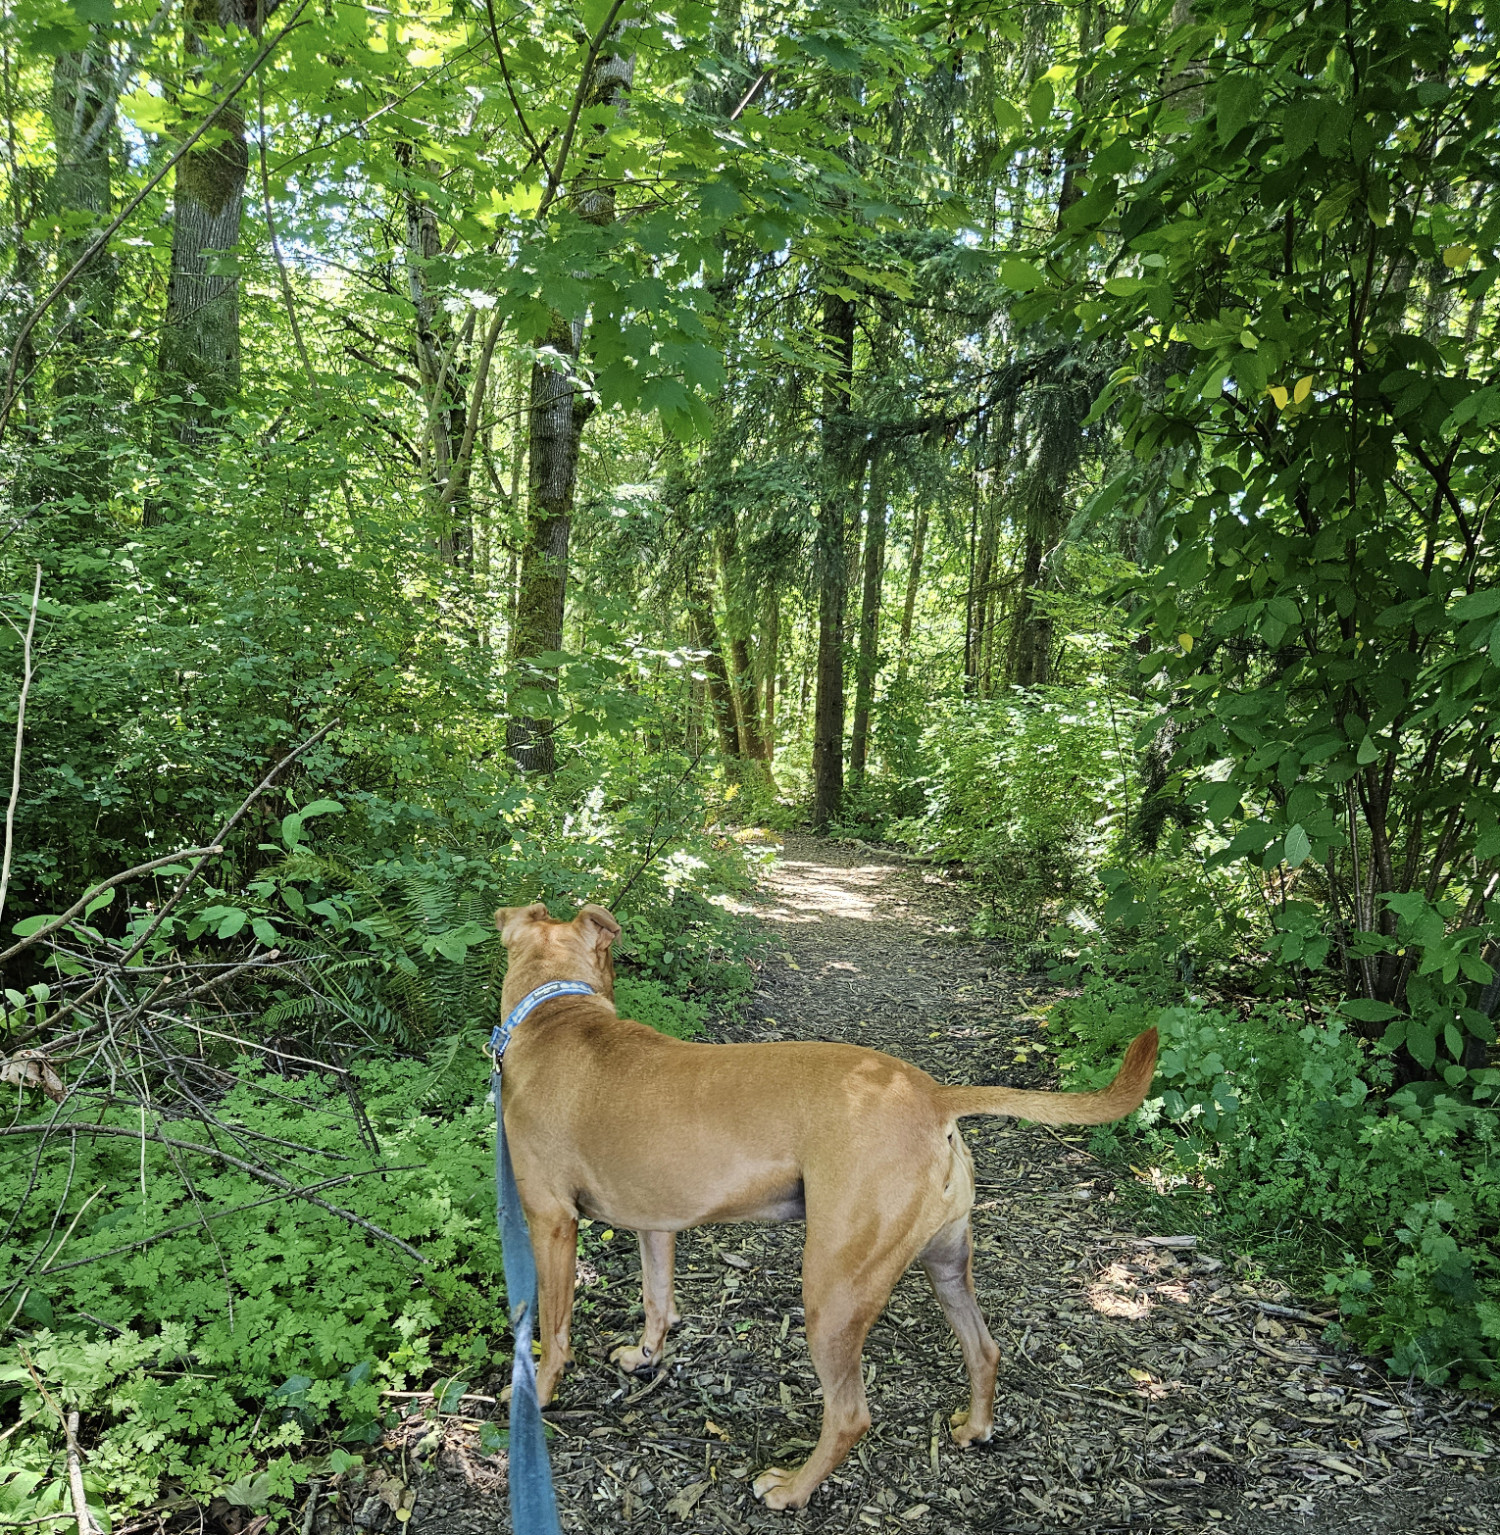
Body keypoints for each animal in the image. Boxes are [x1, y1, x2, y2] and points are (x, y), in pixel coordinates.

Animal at [491, 896, 1160, 1510]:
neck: (553, 1010)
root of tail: (935, 1096)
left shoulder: (551, 1223)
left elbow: (552, 1330)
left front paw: (536, 1395)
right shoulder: (655, 1224)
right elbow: (658, 1300)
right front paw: (646, 1357)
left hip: (832, 1290)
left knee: (849, 1414)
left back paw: (791, 1488)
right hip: (945, 1264)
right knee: (984, 1350)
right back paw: (974, 1429)